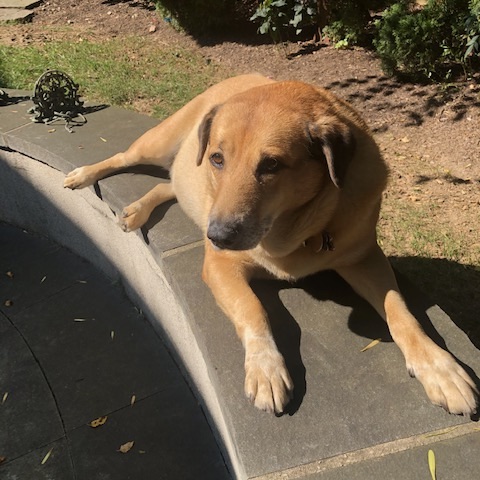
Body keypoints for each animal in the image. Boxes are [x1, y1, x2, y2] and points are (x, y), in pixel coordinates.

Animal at [63, 75, 476, 416]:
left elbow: (401, 313)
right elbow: (253, 309)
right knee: (127, 157)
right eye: (218, 158)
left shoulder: (365, 259)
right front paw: (266, 368)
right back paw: (84, 176)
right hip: (159, 144)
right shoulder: (219, 265)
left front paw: (440, 368)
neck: (298, 230)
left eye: (272, 165)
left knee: (171, 185)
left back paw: (137, 209)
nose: (218, 236)